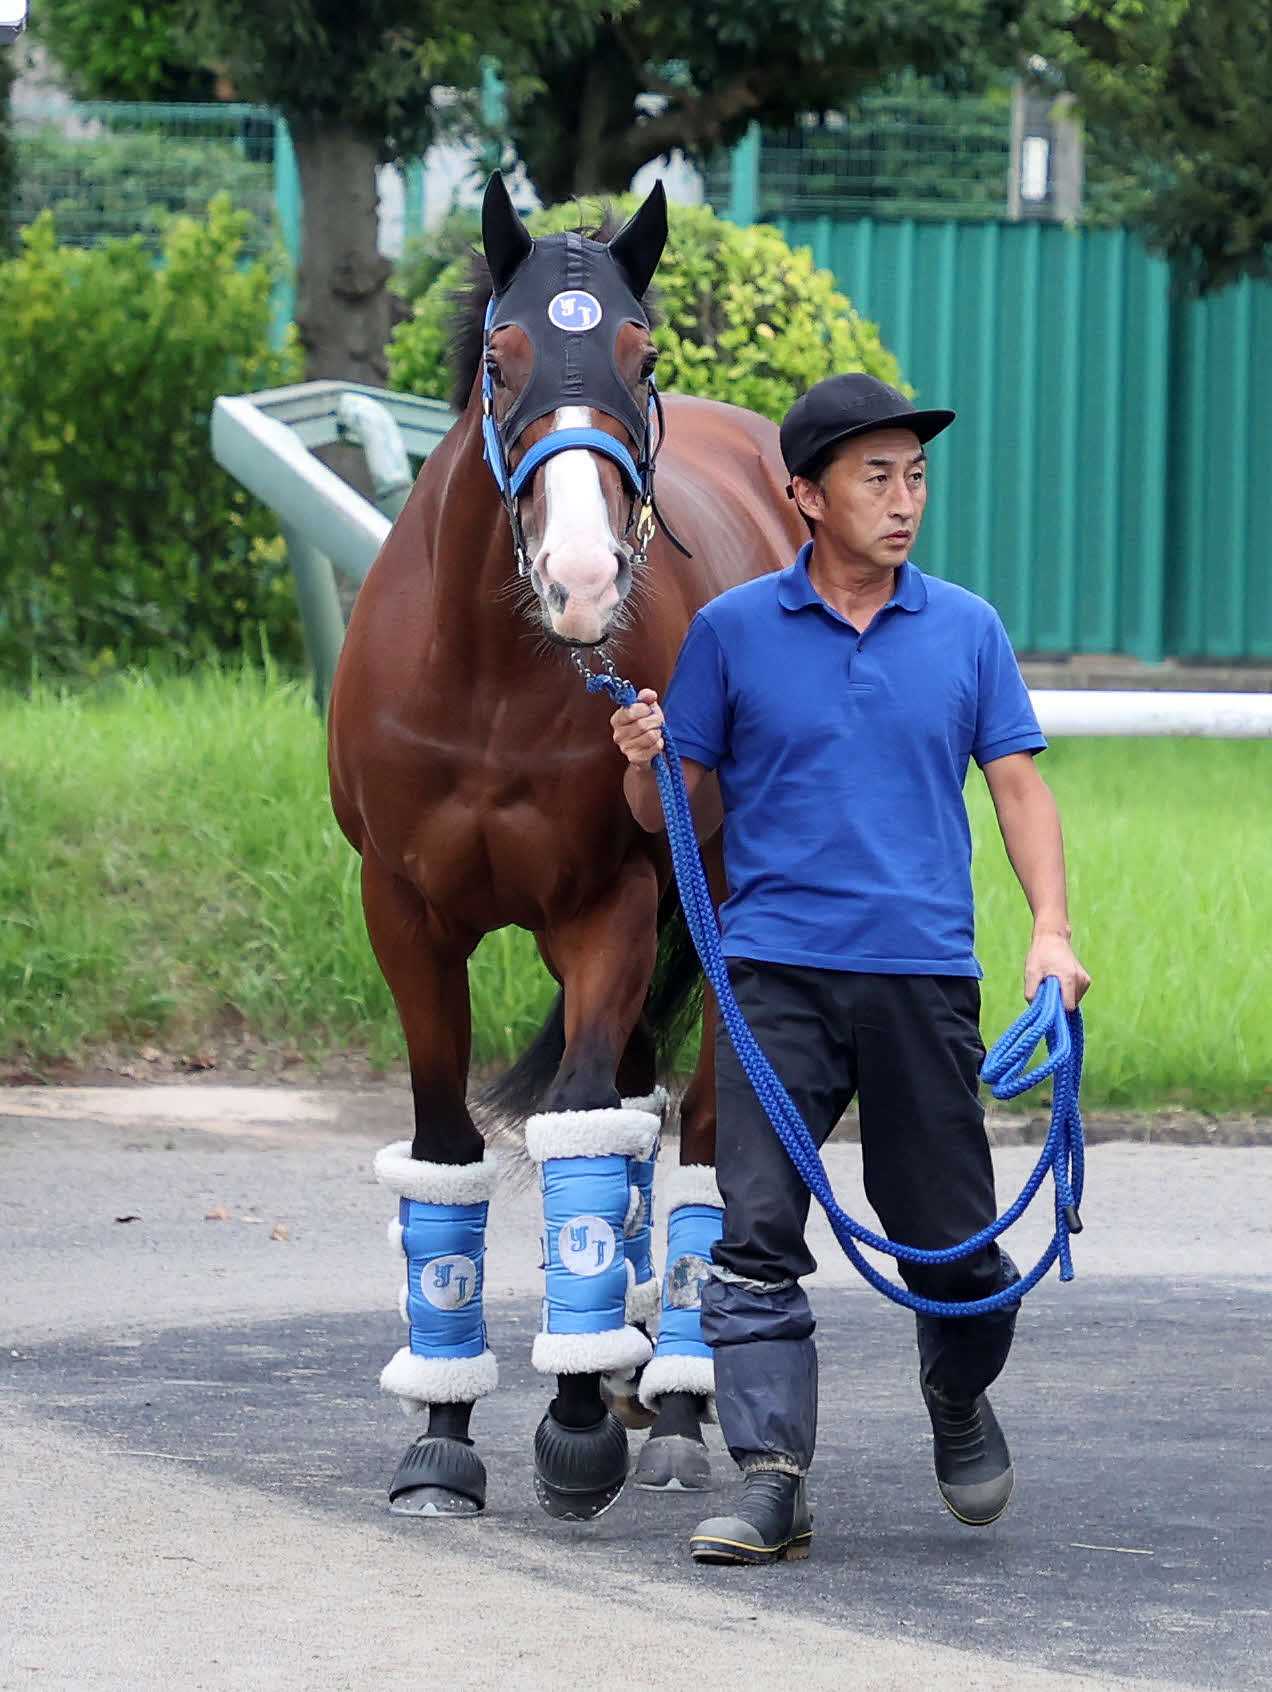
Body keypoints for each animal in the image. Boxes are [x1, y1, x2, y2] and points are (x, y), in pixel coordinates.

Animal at [327, 171, 806, 1521]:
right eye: (503, 356)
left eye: (641, 354)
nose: (586, 578)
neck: (494, 679)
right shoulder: (404, 914)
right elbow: (446, 1152)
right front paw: (442, 1434)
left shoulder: (613, 905)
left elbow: (583, 1126)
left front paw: (577, 1420)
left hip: (718, 919)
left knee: (696, 1139)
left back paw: (677, 1397)